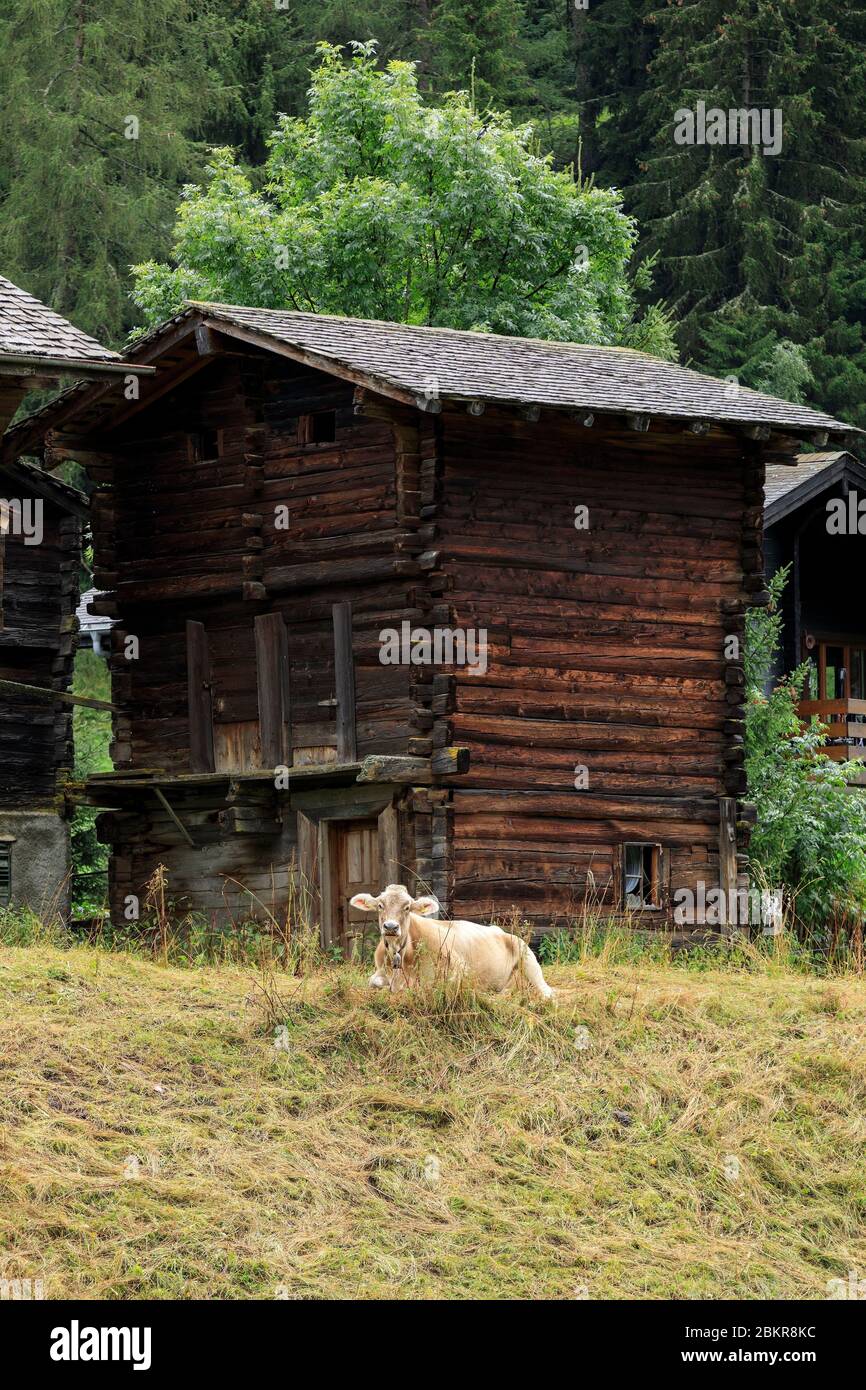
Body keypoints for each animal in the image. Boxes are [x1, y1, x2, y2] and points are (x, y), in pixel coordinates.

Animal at [349, 883, 554, 1000]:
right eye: (380, 905)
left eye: (407, 907)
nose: (391, 927)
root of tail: (500, 931)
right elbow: (374, 982)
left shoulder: (461, 970)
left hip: (529, 960)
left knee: (546, 992)